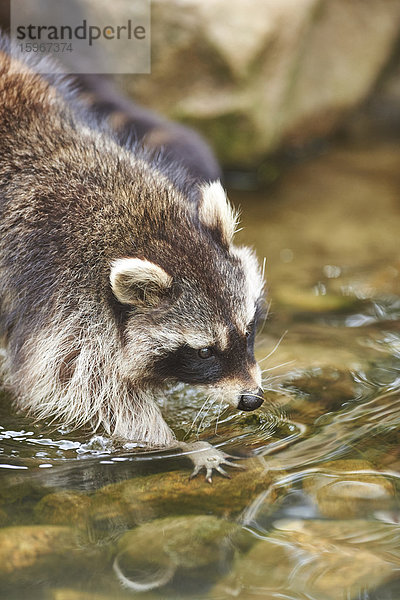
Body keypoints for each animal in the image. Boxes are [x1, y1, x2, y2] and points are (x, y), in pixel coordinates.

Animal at [0, 38, 266, 478]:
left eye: (248, 330)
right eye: (204, 351)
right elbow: (80, 390)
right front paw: (179, 444)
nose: (252, 399)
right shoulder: (63, 294)